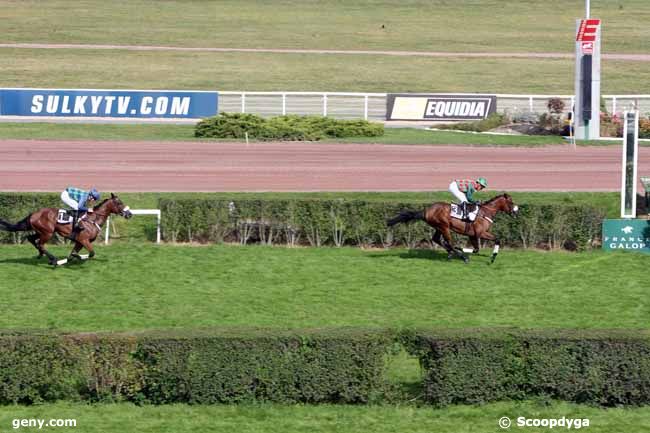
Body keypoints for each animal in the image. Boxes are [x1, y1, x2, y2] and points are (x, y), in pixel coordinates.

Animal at [0, 193, 133, 266]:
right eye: (119, 203)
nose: (129, 214)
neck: (92, 219)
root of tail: (33, 214)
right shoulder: (84, 240)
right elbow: (90, 253)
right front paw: (77, 257)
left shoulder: (79, 242)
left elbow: (71, 256)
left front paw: (64, 261)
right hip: (47, 233)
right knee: (40, 244)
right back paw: (53, 259)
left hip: (42, 231)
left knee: (31, 239)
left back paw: (42, 255)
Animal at [388, 193, 520, 264]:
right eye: (511, 202)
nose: (516, 211)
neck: (485, 212)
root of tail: (426, 211)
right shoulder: (481, 233)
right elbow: (497, 239)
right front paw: (492, 258)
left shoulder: (472, 235)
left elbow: (476, 249)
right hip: (444, 227)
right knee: (449, 242)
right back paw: (461, 256)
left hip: (439, 227)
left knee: (437, 240)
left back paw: (451, 253)